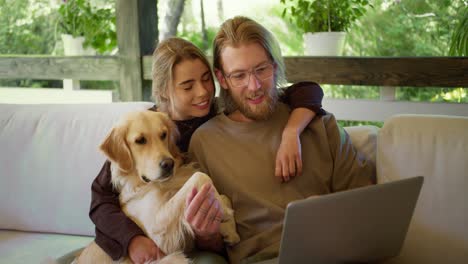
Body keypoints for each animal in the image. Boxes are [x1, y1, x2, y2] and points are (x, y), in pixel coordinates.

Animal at [77, 111, 239, 264]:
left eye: (163, 135)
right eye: (140, 140)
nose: (168, 164)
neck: (150, 184)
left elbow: (223, 195)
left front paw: (230, 230)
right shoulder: (159, 232)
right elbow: (200, 176)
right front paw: (224, 211)